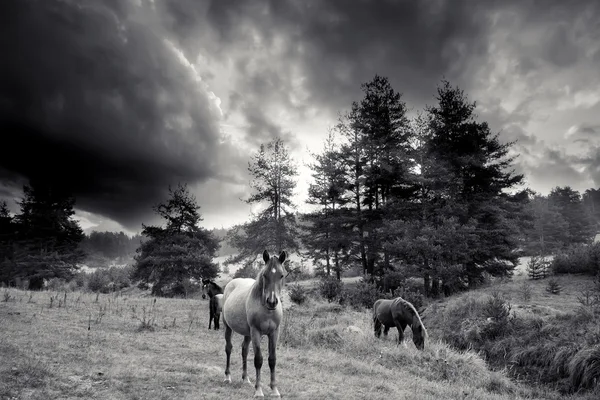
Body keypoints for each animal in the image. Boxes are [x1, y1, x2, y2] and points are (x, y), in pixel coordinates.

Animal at [224, 250, 292, 396]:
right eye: (265, 275)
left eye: (281, 275)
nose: (272, 302)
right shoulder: (256, 332)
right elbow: (258, 360)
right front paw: (259, 391)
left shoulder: (274, 333)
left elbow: (272, 359)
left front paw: (274, 390)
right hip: (228, 327)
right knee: (228, 348)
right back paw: (227, 377)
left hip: (247, 333)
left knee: (244, 350)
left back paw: (245, 379)